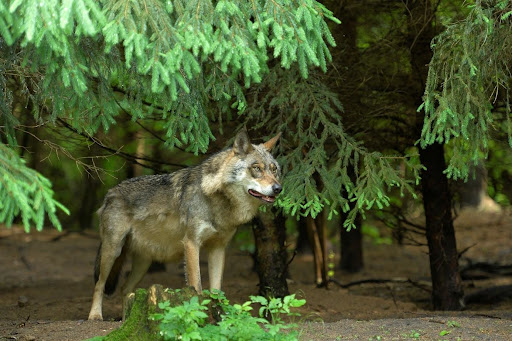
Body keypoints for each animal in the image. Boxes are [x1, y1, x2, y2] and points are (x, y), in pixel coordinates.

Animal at [87, 129, 280, 318]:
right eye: (256, 168)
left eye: (274, 170)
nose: (278, 188)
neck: (217, 200)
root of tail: (110, 192)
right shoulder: (192, 244)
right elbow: (197, 287)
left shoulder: (218, 248)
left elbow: (216, 291)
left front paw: (220, 319)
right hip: (113, 251)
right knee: (99, 285)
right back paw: (95, 315)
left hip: (144, 263)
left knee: (125, 289)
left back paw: (128, 319)